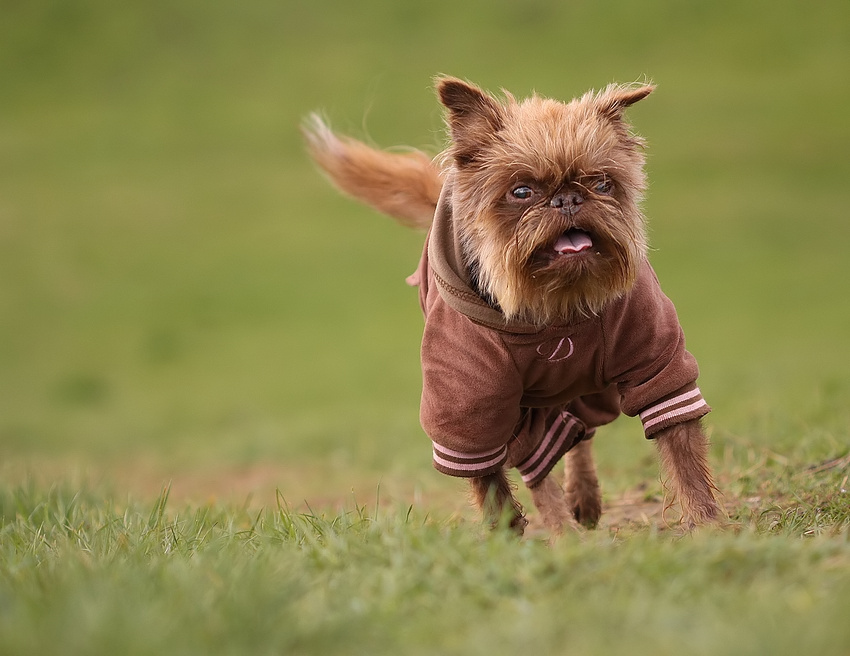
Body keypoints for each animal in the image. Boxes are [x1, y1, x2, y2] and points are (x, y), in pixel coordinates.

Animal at [302, 79, 720, 536]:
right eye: (521, 192)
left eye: (601, 183)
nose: (567, 199)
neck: (553, 308)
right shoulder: (469, 409)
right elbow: (496, 483)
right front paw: (517, 538)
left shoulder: (655, 363)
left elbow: (682, 451)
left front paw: (707, 525)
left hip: (593, 392)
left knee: (578, 434)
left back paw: (581, 500)